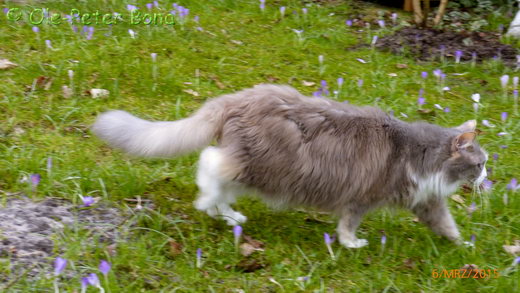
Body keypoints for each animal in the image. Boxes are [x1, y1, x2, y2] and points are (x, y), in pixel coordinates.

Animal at [93, 83, 488, 248]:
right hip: (259, 163)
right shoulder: (363, 196)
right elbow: (348, 225)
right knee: (210, 164)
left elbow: (446, 225)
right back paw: (208, 202)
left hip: (256, 170)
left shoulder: (427, 201)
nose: (489, 177)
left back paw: (229, 216)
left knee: (222, 188)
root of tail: (237, 98)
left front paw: (466, 249)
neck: (416, 151)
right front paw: (351, 244)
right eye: (481, 162)